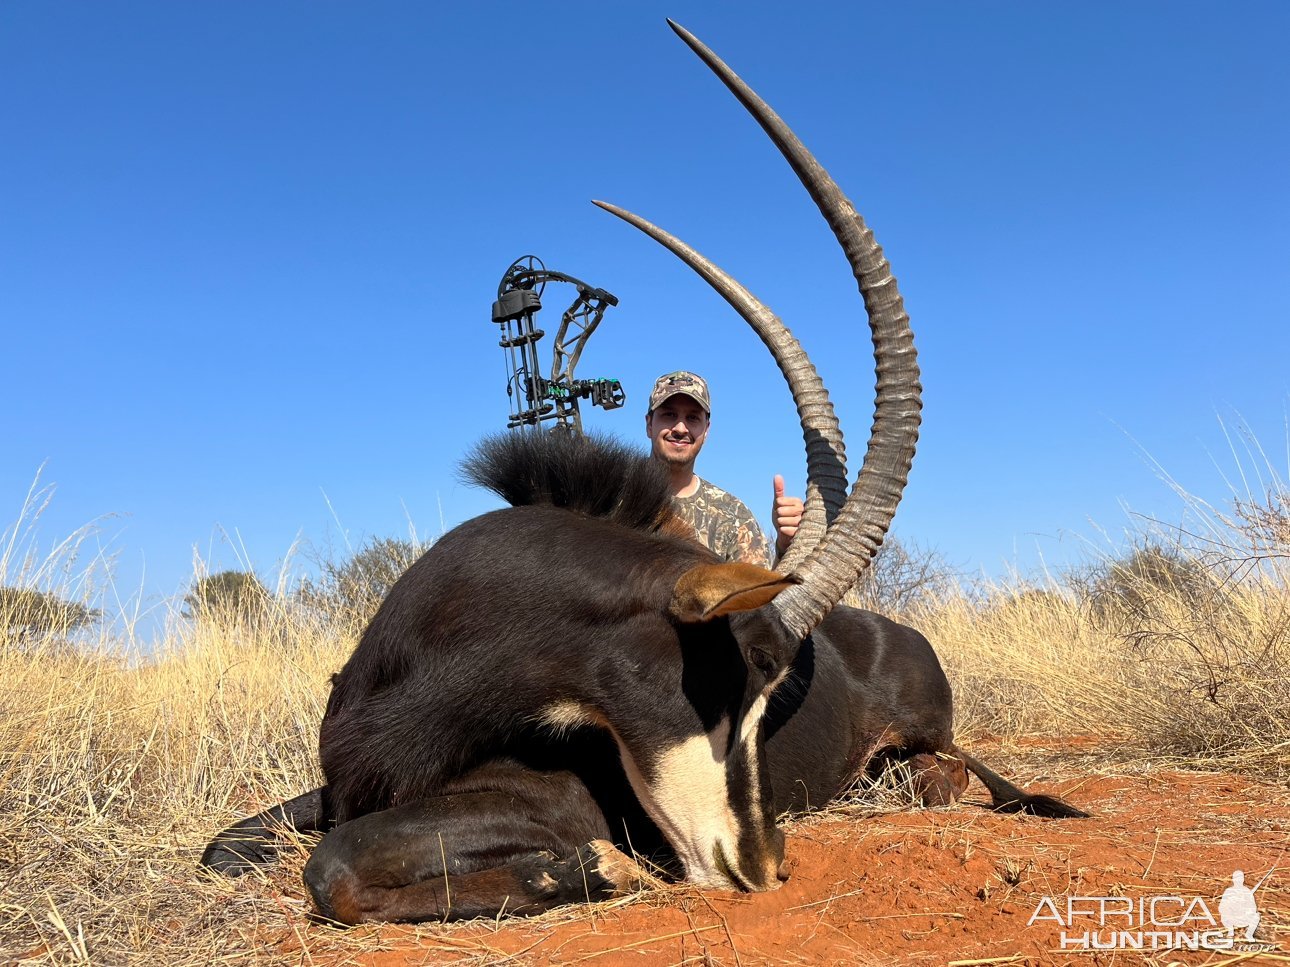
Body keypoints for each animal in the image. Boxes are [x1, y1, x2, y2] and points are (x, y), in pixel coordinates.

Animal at [201, 18, 1088, 918]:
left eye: (771, 692)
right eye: (733, 679)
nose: (764, 865)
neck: (422, 669)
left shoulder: (548, 800)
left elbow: (334, 866)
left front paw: (595, 866)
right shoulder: (338, 788)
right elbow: (229, 846)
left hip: (936, 738)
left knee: (946, 771)